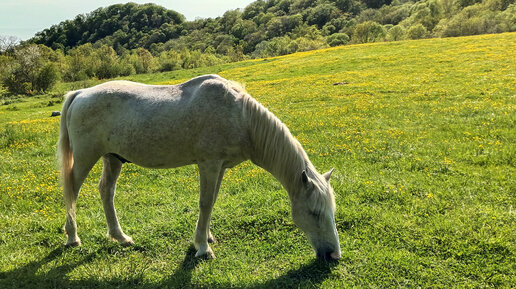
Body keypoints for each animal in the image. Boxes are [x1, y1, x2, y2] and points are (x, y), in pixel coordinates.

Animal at [58, 73, 340, 258]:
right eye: (314, 213)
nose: (333, 256)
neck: (241, 118)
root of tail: (80, 94)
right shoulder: (209, 164)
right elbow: (205, 202)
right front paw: (203, 248)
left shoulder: (221, 167)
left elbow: (212, 201)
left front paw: (206, 236)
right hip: (85, 157)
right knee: (72, 191)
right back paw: (73, 238)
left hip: (113, 158)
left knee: (106, 191)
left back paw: (121, 237)